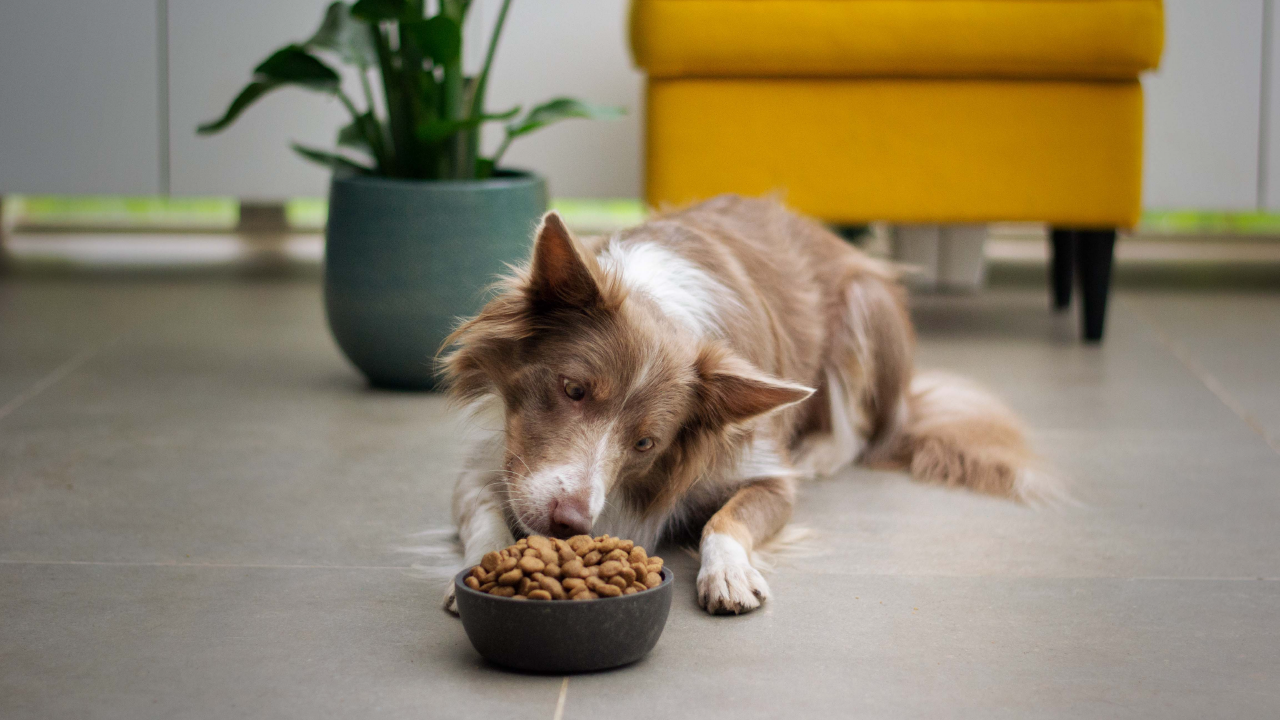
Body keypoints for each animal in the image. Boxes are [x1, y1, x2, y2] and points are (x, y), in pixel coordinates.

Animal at [440, 194, 1049, 609]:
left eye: (646, 443)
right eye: (573, 389)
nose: (570, 523)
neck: (658, 303)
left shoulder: (765, 471)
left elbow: (725, 519)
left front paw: (728, 572)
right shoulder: (496, 461)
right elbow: (483, 513)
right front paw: (480, 567)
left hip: (865, 305)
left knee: (862, 431)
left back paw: (820, 452)